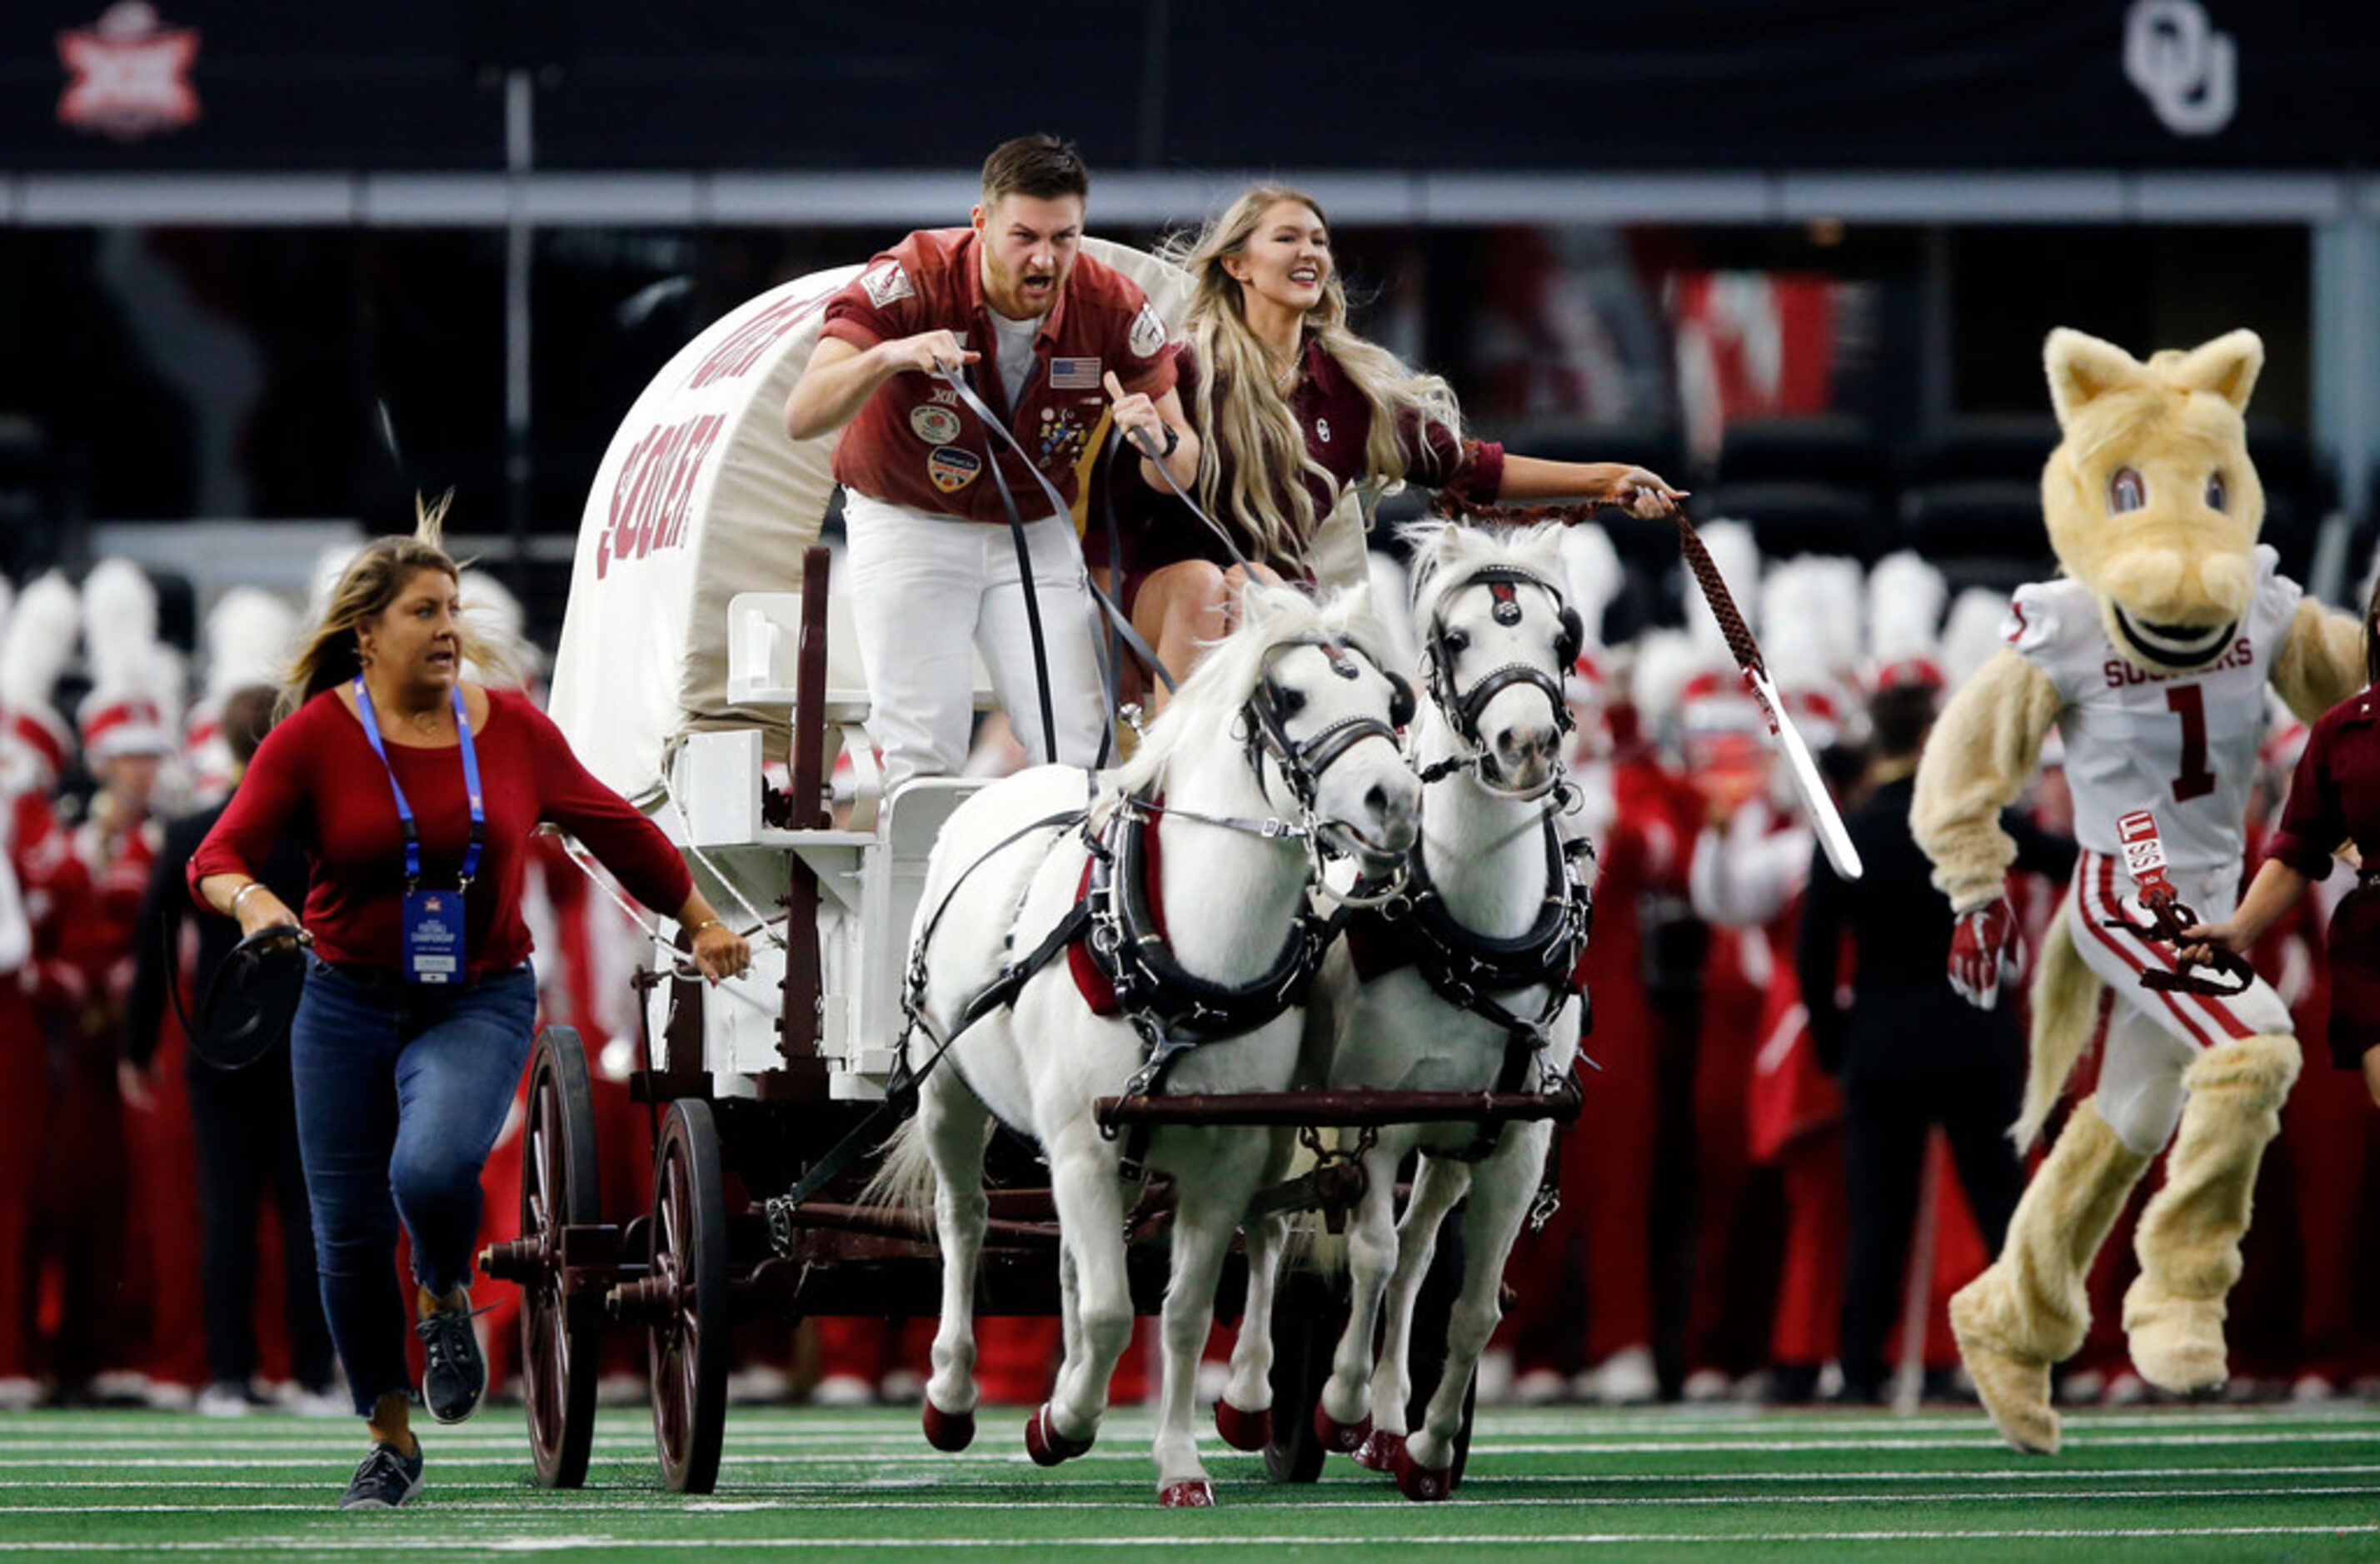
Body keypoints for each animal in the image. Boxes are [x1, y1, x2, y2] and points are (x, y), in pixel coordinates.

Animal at [885, 583, 1418, 1504]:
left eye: (1393, 703)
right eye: (1291, 697)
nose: (1396, 799)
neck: (1181, 965)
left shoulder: (1220, 1159)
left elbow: (1182, 1313)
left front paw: (1176, 1463)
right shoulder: (1081, 1145)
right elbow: (1108, 1311)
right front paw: (1062, 1422)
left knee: (1181, 1246)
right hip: (947, 1089)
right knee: (964, 1220)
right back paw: (952, 1395)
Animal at [1228, 523, 1580, 1504]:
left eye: (1561, 638)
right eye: (1457, 639)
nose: (1524, 742)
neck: (1473, 936)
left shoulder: (1516, 1140)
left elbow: (1469, 1304)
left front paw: (1423, 1446)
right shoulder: (1370, 1119)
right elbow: (1369, 1259)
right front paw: (1337, 1403)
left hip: (1450, 1144)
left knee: (1421, 1251)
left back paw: (1389, 1425)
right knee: (1269, 1225)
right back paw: (1255, 1399)